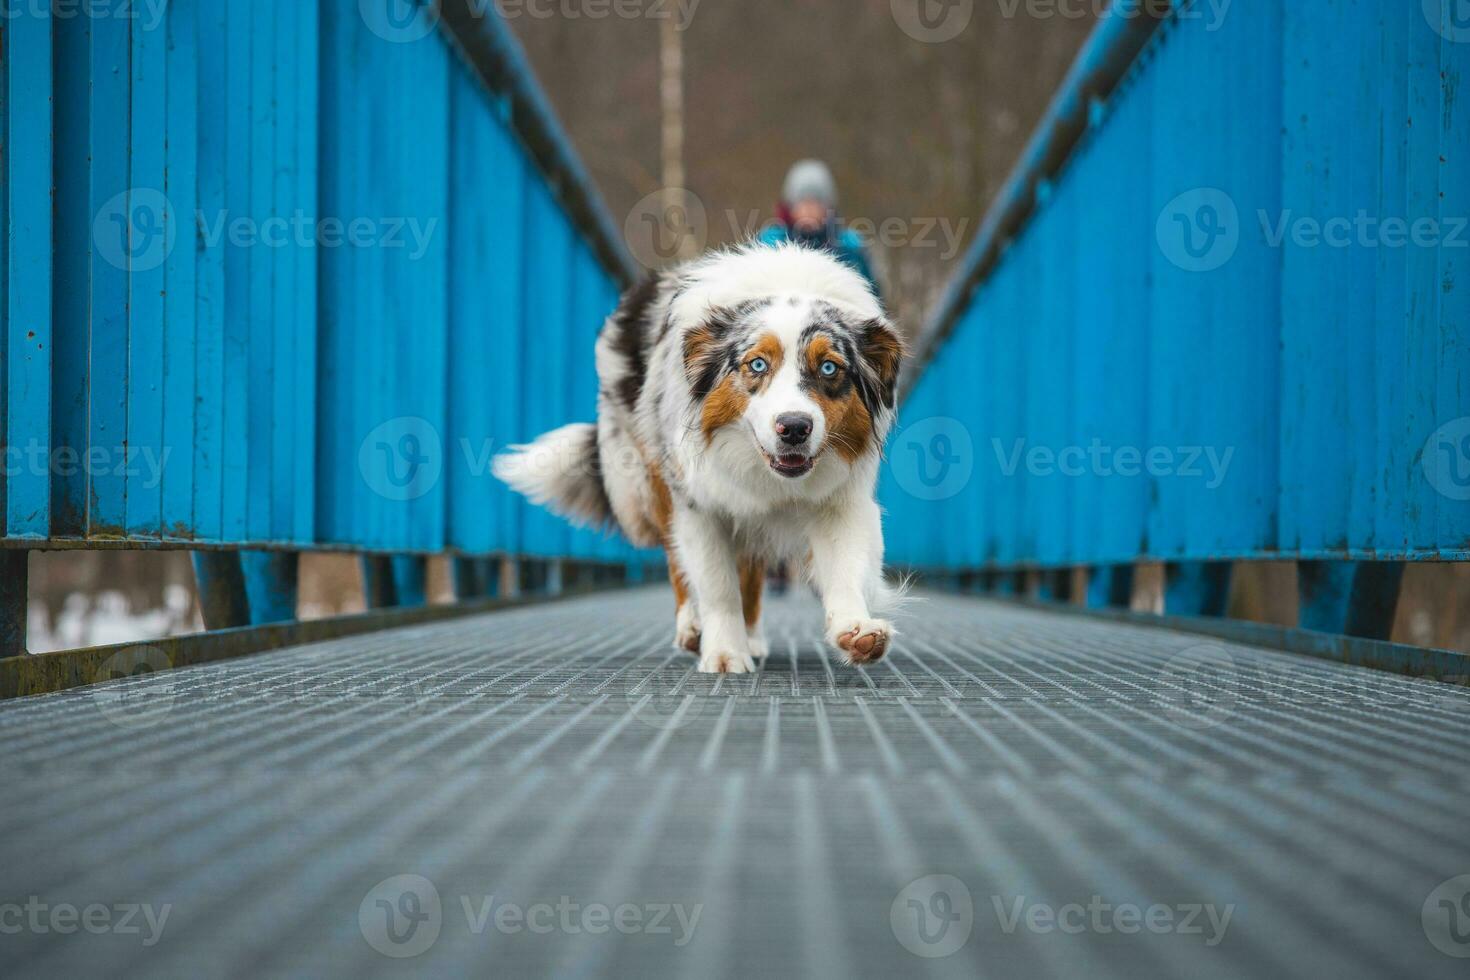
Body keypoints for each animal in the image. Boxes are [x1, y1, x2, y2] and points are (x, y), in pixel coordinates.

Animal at [499, 245, 899, 675]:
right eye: (757, 364)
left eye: (829, 367)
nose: (794, 427)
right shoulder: (697, 502)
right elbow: (716, 583)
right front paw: (724, 652)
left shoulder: (840, 499)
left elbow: (846, 565)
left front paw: (855, 631)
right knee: (679, 561)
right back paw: (693, 626)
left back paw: (752, 636)